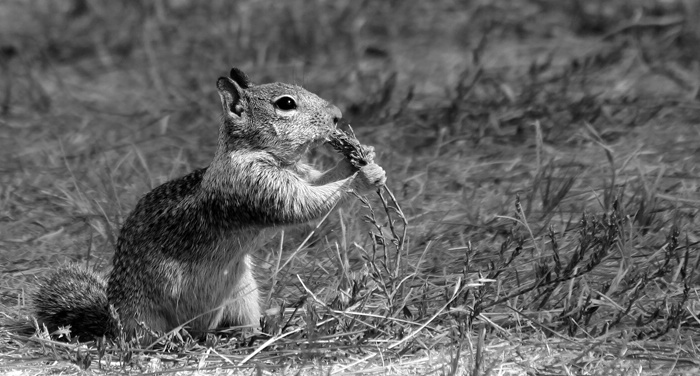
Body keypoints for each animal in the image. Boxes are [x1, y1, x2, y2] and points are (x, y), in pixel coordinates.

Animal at [32, 67, 386, 340]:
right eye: (286, 104)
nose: (338, 115)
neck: (259, 153)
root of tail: (112, 320)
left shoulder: (300, 174)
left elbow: (320, 181)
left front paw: (363, 158)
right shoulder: (256, 186)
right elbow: (305, 204)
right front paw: (362, 177)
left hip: (242, 294)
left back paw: (255, 332)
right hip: (144, 313)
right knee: (144, 337)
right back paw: (169, 341)